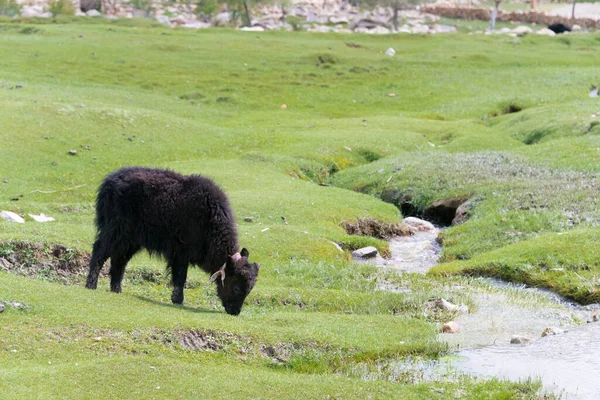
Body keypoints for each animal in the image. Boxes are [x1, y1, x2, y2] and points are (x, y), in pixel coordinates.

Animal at [85, 166, 260, 316]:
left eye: (249, 289)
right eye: (236, 287)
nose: (235, 311)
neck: (210, 218)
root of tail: (109, 181)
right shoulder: (180, 253)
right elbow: (180, 277)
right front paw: (178, 300)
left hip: (130, 241)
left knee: (119, 261)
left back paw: (117, 290)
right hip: (117, 232)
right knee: (100, 251)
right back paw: (91, 285)